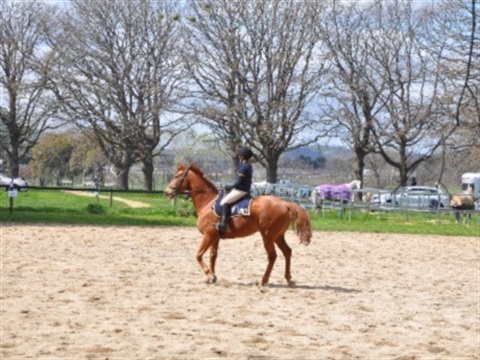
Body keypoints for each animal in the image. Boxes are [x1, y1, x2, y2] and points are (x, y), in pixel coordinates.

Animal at [163, 164, 314, 286]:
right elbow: (213, 256)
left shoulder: (208, 235)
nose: (167, 192)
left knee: (272, 256)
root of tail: (285, 203)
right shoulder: (215, 237)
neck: (207, 201)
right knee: (287, 252)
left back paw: (263, 281)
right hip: (278, 236)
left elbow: (198, 255)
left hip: (267, 236)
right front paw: (212, 277)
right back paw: (288, 279)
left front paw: (209, 274)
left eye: (177, 176)